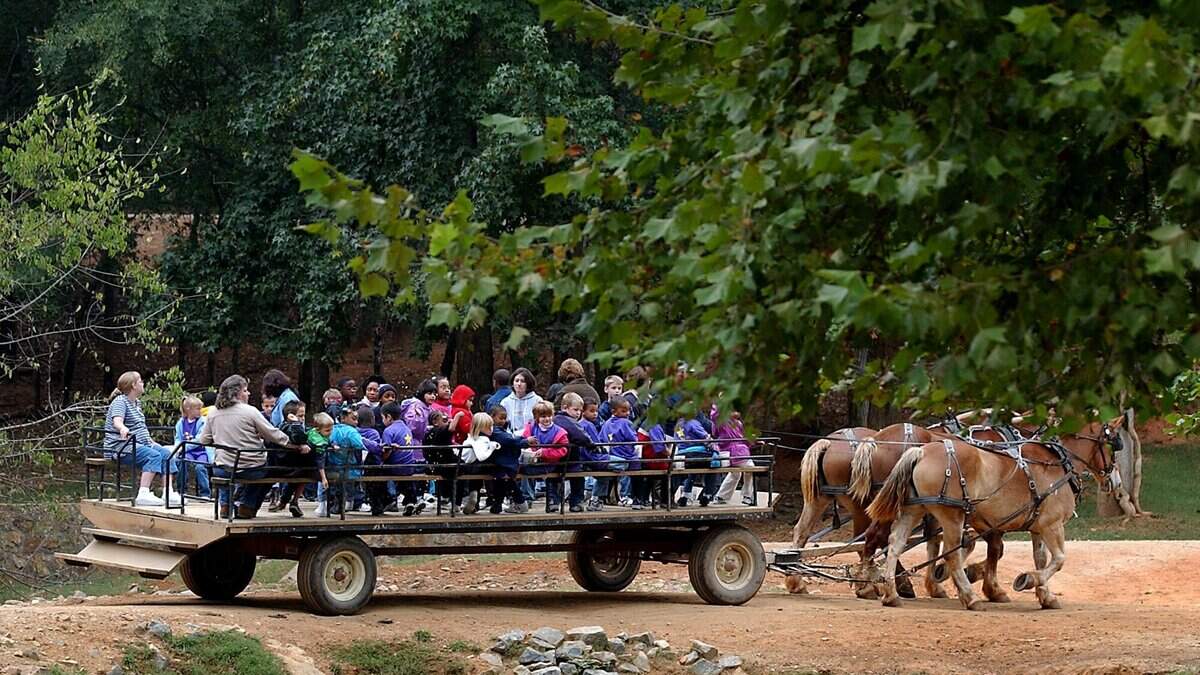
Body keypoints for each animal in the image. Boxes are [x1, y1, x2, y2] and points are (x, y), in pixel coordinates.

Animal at [866, 415, 1125, 610]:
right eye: (1113, 445)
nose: (1115, 481)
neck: (1057, 461)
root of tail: (922, 452)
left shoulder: (1036, 526)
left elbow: (1039, 558)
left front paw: (1045, 596)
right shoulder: (1051, 524)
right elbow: (1058, 559)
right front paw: (1026, 580)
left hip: (914, 510)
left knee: (895, 544)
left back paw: (890, 593)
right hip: (952, 515)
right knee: (950, 553)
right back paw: (969, 597)